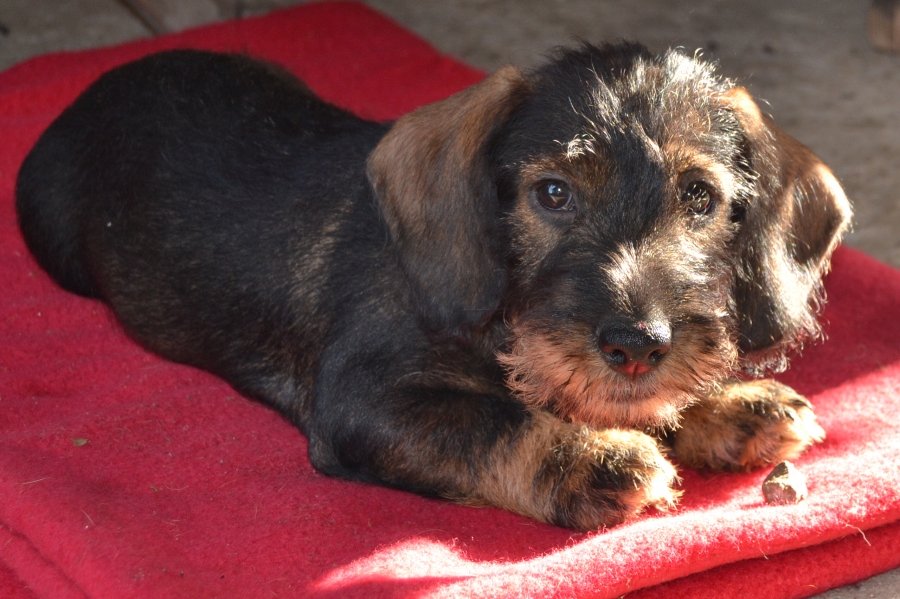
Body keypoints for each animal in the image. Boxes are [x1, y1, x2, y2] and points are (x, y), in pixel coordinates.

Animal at [16, 43, 851, 530]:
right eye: (553, 194)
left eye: (701, 199)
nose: (637, 344)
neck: (500, 325)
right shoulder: (368, 400)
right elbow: (491, 421)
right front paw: (591, 459)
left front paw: (731, 404)